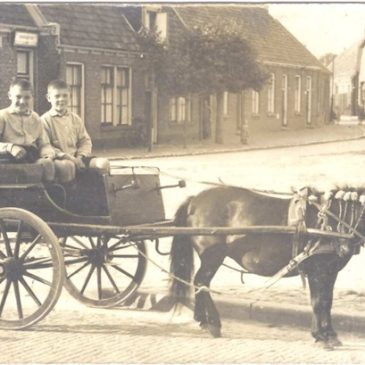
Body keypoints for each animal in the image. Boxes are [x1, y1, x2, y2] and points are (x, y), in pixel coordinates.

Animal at [168, 186, 364, 348]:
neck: (332, 222)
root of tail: (194, 200)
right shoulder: (319, 271)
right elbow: (318, 302)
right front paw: (321, 336)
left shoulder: (330, 272)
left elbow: (327, 302)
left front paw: (330, 334)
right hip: (212, 256)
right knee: (202, 282)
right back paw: (213, 323)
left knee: (200, 283)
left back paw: (203, 320)